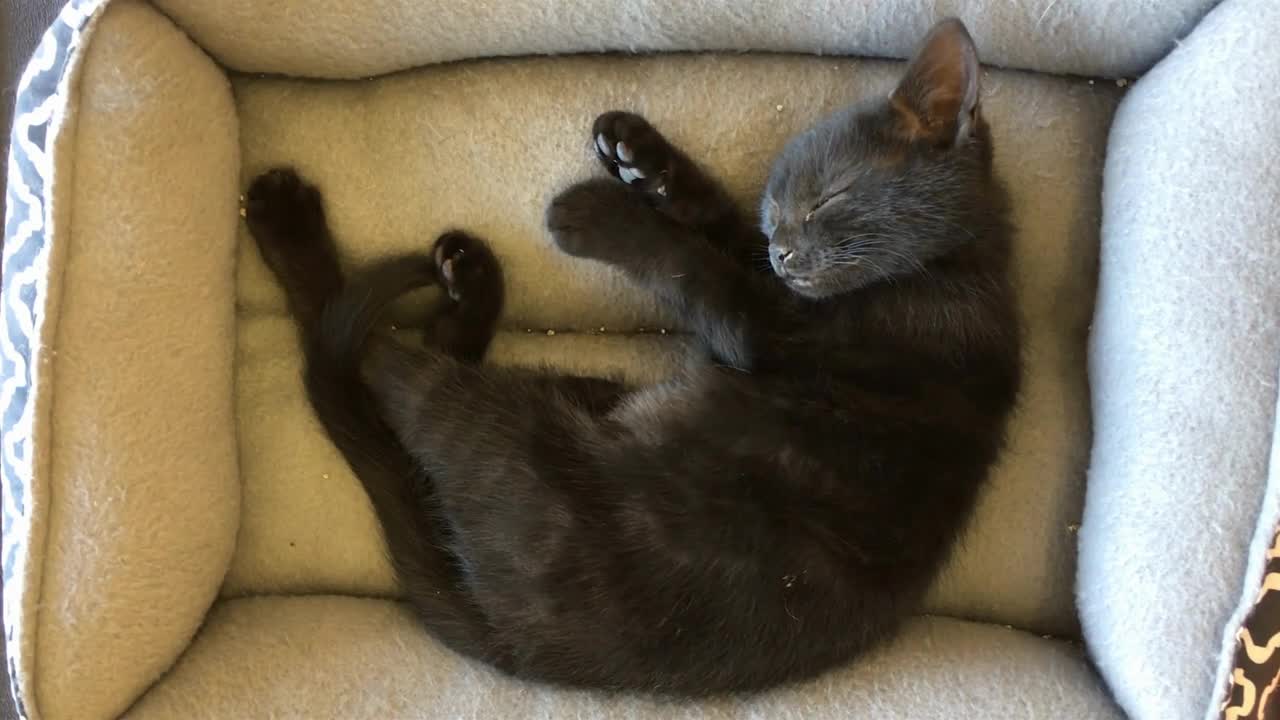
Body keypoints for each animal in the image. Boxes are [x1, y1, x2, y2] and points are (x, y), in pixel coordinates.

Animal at [240, 18, 1018, 696]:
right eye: (772, 211)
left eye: (829, 197)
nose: (783, 252)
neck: (950, 267)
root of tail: (519, 643)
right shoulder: (764, 286)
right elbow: (715, 228)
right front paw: (639, 154)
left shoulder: (774, 325)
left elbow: (691, 265)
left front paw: (597, 210)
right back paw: (470, 280)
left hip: (508, 434)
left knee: (365, 350)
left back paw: (289, 225)